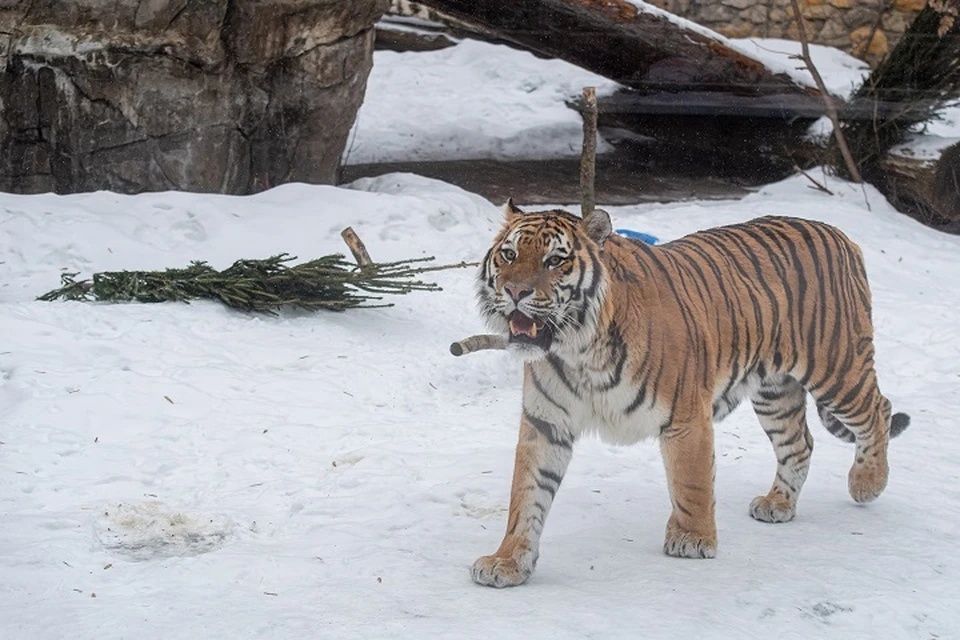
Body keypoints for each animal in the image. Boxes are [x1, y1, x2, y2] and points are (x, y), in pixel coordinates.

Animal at [470, 199, 910, 588]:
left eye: (554, 261)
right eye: (509, 254)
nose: (515, 292)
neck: (578, 352)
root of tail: (839, 234)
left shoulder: (685, 417)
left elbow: (691, 482)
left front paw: (692, 539)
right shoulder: (545, 425)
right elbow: (526, 497)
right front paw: (508, 561)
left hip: (837, 367)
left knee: (878, 409)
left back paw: (867, 482)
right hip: (775, 392)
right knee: (800, 443)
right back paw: (779, 504)